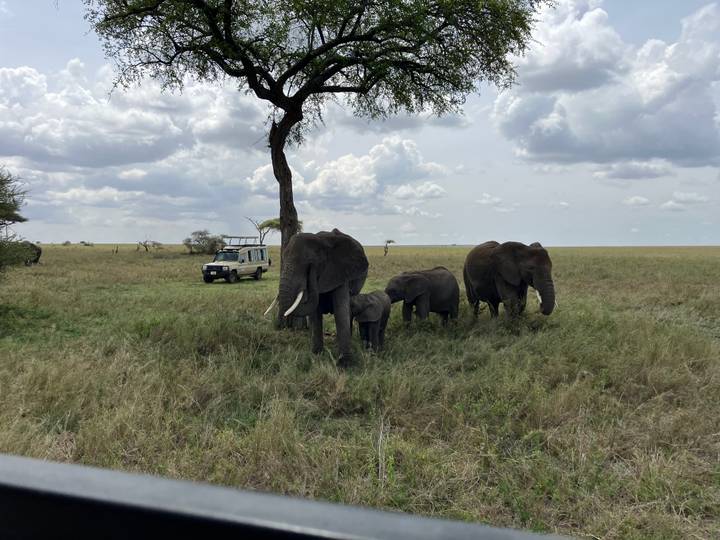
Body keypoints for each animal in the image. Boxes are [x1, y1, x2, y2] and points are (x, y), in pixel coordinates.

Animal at [265, 229, 368, 366]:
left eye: (310, 263)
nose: (312, 272)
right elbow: (315, 313)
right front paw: (316, 355)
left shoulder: (340, 272)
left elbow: (341, 312)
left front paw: (345, 364)